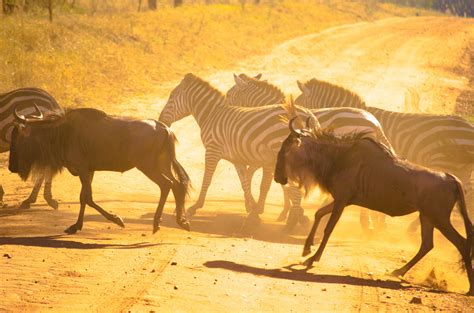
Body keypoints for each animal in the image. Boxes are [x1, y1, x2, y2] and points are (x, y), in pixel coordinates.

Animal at [158, 73, 318, 227]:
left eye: (171, 96)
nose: (161, 120)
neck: (212, 115)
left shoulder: (212, 150)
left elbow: (207, 179)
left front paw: (195, 207)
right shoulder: (237, 158)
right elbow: (245, 181)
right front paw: (253, 209)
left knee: (294, 187)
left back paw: (293, 220)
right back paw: (295, 217)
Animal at [228, 73, 390, 229]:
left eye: (231, 96)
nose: (231, 115)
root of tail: (375, 124)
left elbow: (265, 182)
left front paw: (262, 209)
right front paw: (287, 212)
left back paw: (365, 222)